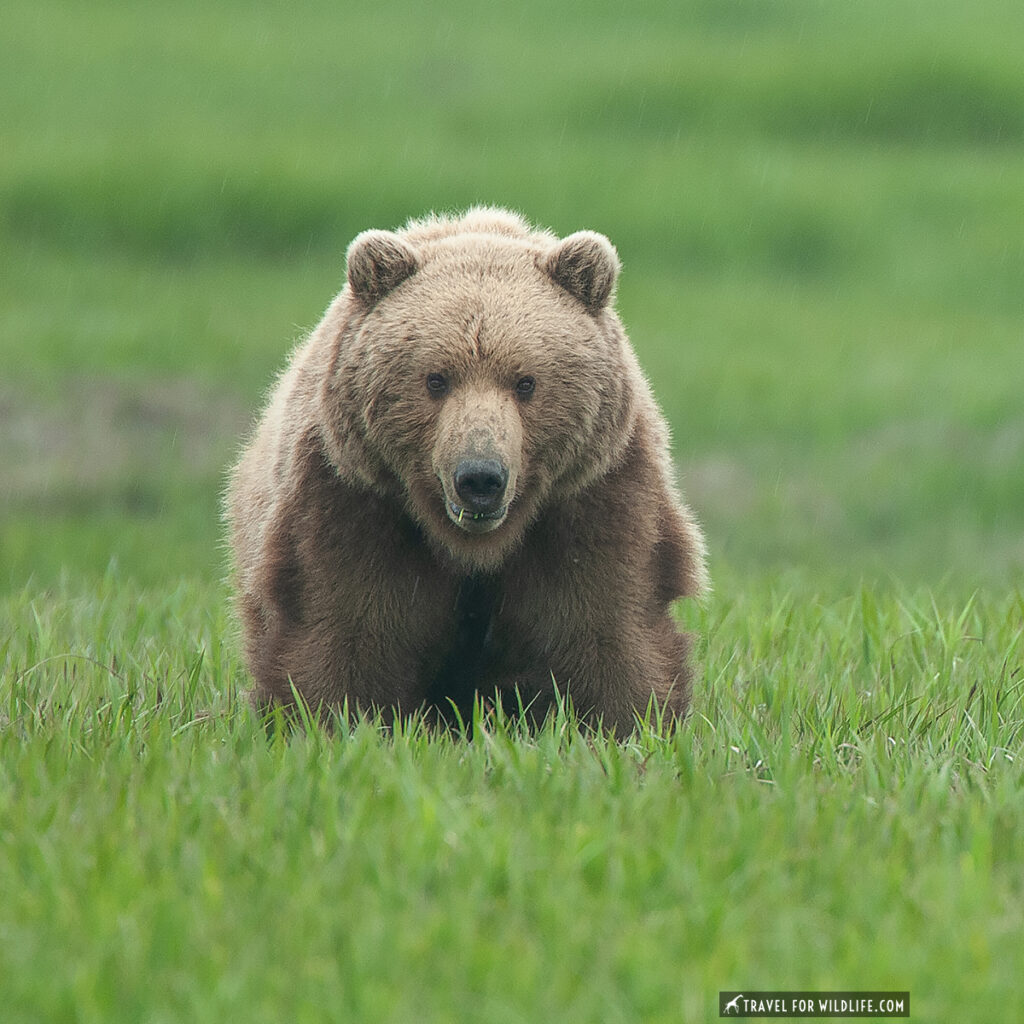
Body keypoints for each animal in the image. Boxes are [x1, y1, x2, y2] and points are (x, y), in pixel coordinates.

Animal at [225, 207, 708, 733]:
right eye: (436, 379)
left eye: (526, 382)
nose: (480, 478)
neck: (474, 545)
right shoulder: (353, 497)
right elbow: (351, 622)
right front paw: (333, 719)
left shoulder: (591, 495)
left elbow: (599, 621)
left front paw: (626, 723)